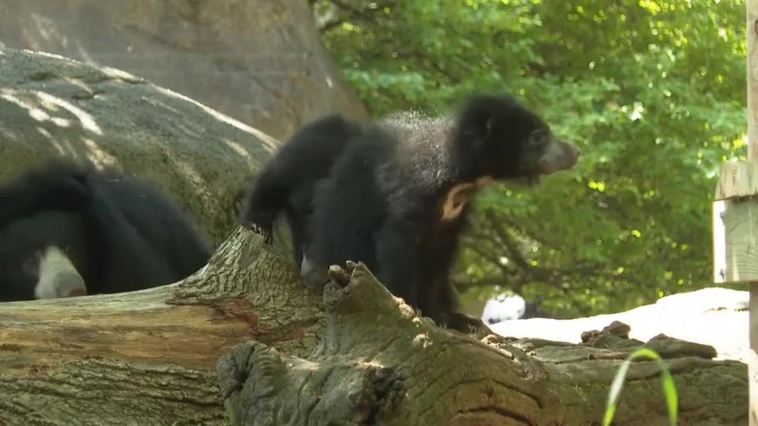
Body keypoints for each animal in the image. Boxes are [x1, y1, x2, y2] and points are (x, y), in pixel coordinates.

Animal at [243, 95, 580, 332]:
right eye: (538, 136)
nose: (575, 152)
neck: (458, 185)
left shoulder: (449, 223)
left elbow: (437, 266)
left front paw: (448, 317)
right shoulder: (409, 201)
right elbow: (399, 249)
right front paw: (411, 308)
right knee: (274, 182)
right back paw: (259, 227)